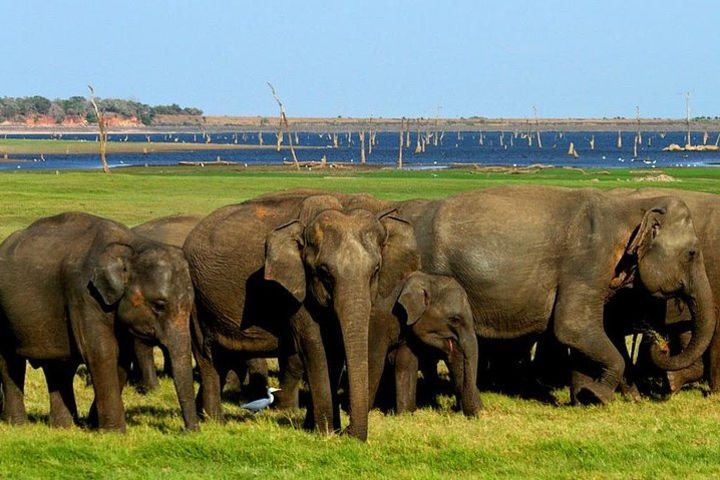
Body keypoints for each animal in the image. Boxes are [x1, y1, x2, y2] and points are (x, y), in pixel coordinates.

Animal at [0, 213, 198, 432]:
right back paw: (18, 425)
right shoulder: (84, 293)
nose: (189, 430)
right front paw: (114, 432)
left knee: (59, 366)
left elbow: (122, 356)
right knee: (10, 361)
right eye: (160, 305)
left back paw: (63, 427)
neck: (132, 246)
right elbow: (102, 352)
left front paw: (94, 425)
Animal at [183, 189, 414, 440]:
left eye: (376, 270)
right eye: (324, 272)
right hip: (196, 297)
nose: (350, 432)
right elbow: (317, 348)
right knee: (208, 356)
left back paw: (205, 416)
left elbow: (334, 351)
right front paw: (326, 433)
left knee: (223, 358)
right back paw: (216, 423)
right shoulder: (295, 291)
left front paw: (317, 428)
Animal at [396, 186, 716, 404]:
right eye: (692, 253)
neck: (632, 207)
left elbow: (585, 332)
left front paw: (583, 395)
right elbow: (572, 327)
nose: (660, 344)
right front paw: (597, 395)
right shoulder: (587, 261)